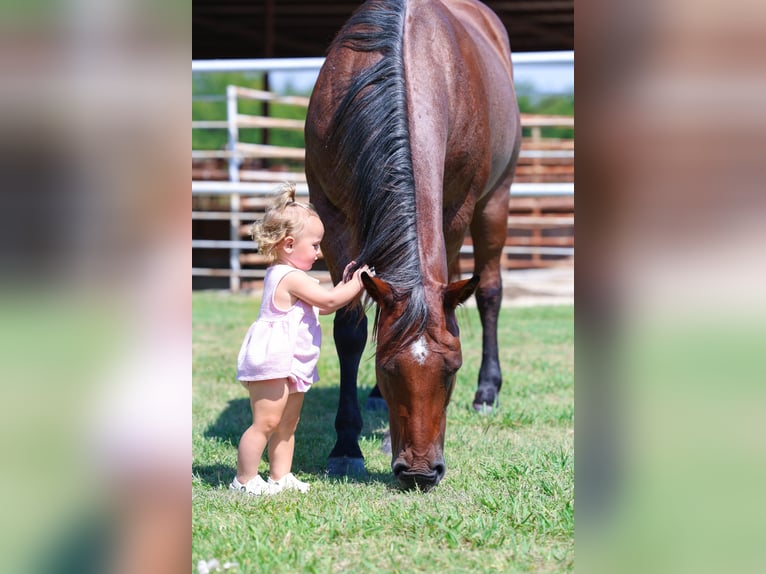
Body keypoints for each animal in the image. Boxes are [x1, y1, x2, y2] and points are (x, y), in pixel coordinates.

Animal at [305, 0, 520, 490]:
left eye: (452, 369)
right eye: (385, 367)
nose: (421, 472)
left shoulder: (456, 210)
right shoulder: (332, 217)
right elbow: (351, 330)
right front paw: (346, 446)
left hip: (494, 203)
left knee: (489, 291)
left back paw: (488, 392)